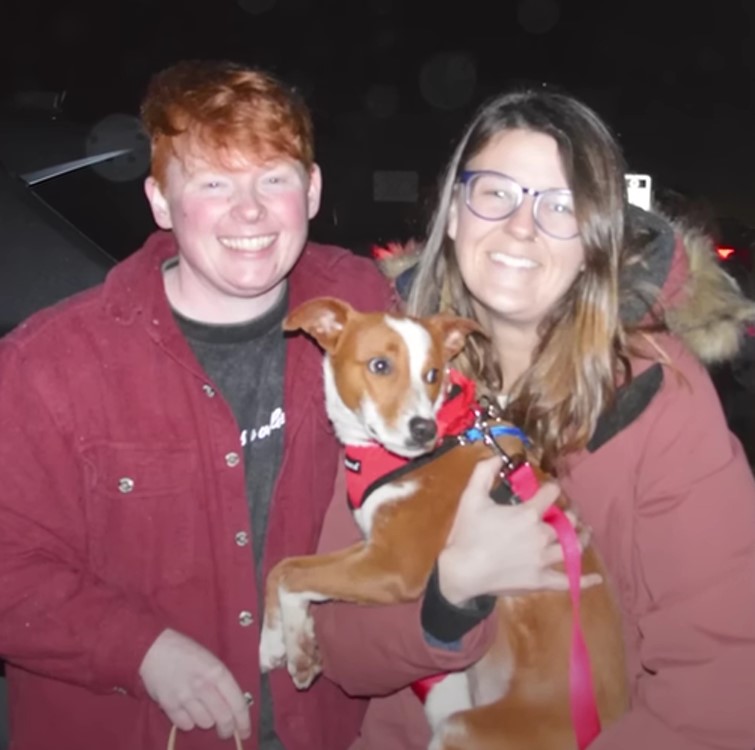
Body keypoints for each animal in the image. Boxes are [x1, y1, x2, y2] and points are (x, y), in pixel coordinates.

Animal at [260, 298, 628, 750]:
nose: (424, 429)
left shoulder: (393, 568)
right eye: (380, 365)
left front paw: (294, 644)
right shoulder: (372, 548)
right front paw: (275, 641)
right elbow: (284, 568)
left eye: (433, 373)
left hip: (466, 730)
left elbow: (294, 576)